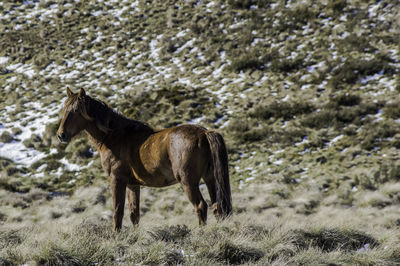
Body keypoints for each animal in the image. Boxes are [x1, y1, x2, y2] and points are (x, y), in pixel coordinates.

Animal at [56, 88, 231, 230]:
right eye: (65, 109)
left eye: (76, 110)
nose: (61, 135)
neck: (114, 136)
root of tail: (203, 133)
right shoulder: (133, 185)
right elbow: (134, 214)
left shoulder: (116, 179)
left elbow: (118, 211)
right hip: (210, 179)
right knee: (217, 206)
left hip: (188, 181)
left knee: (201, 206)